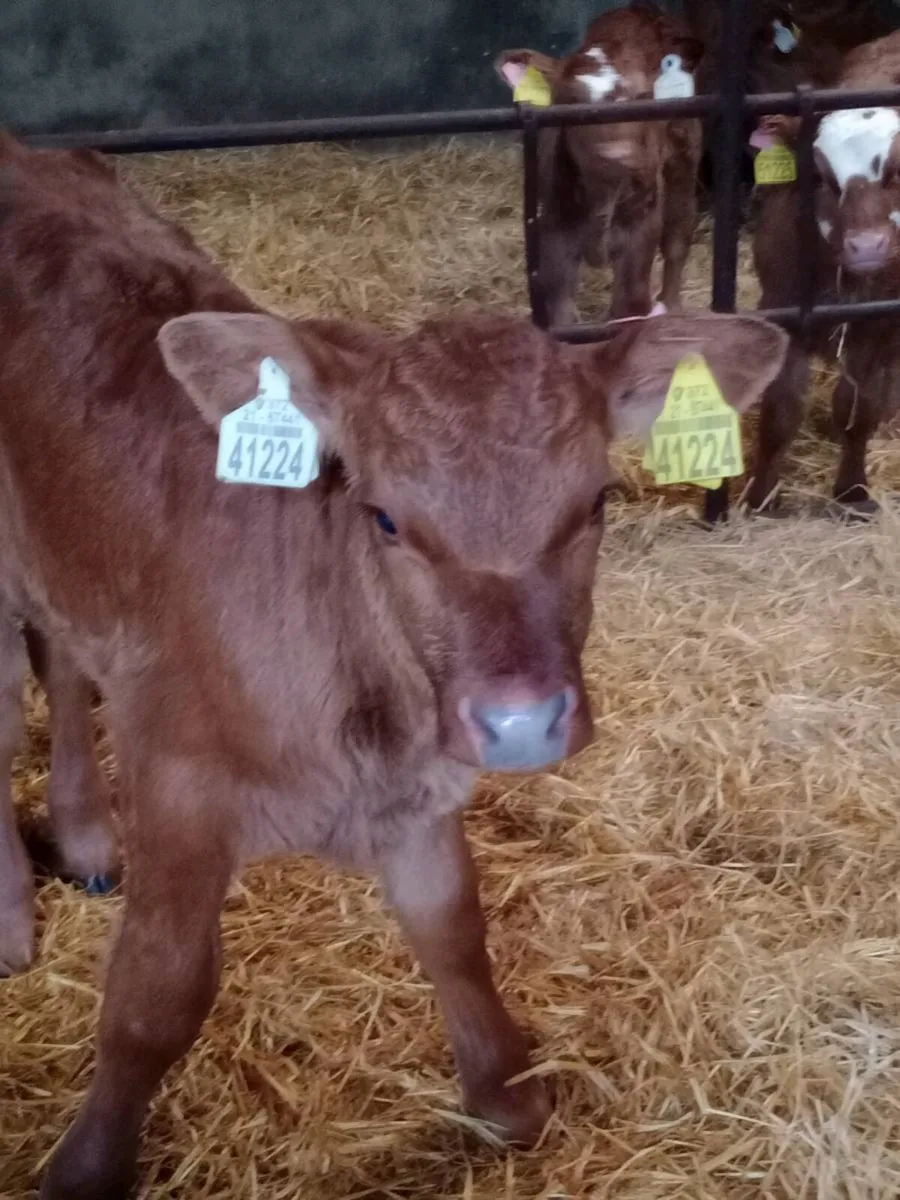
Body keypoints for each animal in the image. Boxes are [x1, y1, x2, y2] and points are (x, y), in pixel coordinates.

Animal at [0, 132, 789, 1199]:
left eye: (595, 503)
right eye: (383, 517)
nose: (520, 718)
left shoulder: (419, 788)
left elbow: (453, 928)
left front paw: (507, 1093)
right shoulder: (178, 778)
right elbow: (155, 996)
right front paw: (86, 1168)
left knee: (63, 660)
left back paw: (84, 836)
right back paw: (13, 912)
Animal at [495, 2, 705, 326]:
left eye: (643, 98)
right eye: (570, 100)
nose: (617, 156)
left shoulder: (642, 226)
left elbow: (629, 305)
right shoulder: (555, 222)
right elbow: (560, 311)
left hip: (685, 152)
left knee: (678, 235)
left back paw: (672, 306)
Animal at [745, 28, 900, 512]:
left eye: (896, 172)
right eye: (820, 177)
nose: (867, 245)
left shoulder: (878, 326)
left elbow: (856, 408)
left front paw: (852, 491)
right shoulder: (782, 307)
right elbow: (781, 411)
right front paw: (761, 497)